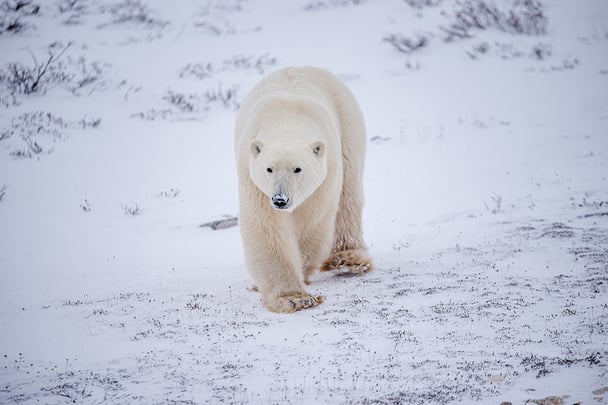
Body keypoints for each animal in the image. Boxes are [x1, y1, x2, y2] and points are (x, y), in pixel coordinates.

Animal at [234, 67, 372, 312]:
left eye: (297, 169)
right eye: (269, 168)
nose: (280, 200)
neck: (287, 119)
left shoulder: (326, 172)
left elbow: (312, 221)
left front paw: (301, 277)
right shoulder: (253, 180)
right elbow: (266, 226)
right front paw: (293, 298)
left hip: (348, 124)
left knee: (349, 193)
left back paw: (348, 259)